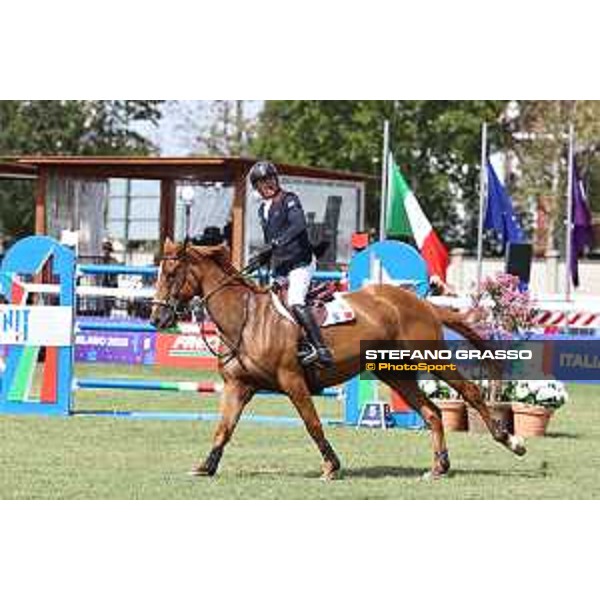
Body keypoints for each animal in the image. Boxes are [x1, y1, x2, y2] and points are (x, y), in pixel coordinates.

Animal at [150, 241, 524, 480]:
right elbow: (223, 429)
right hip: (394, 371)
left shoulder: (292, 381)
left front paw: (331, 466)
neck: (246, 318)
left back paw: (510, 441)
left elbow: (312, 424)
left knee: (471, 392)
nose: (156, 318)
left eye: (171, 274)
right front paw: (205, 467)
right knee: (432, 412)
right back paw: (438, 467)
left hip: (430, 357)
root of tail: (420, 301)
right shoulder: (238, 387)